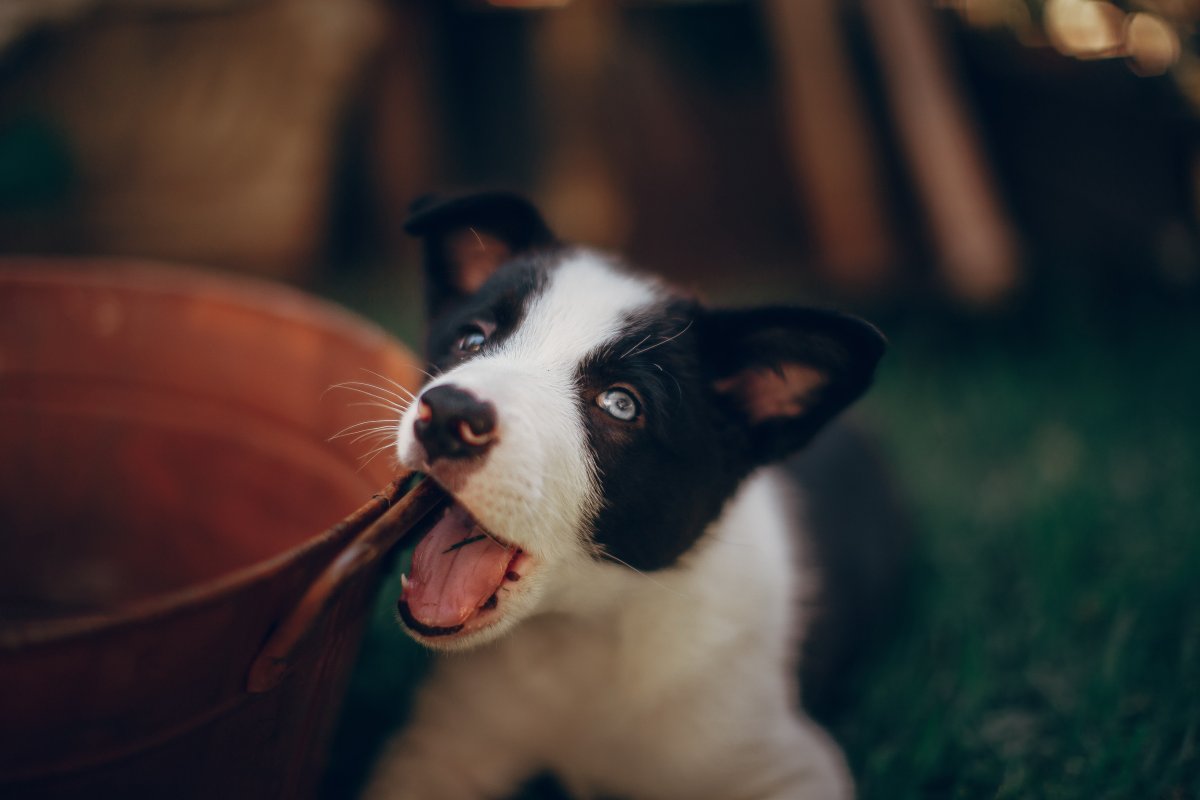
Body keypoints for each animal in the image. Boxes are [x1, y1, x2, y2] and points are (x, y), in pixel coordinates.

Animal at [360, 190, 888, 796]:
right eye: (473, 338)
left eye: (621, 403)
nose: (448, 416)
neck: (585, 633)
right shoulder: (438, 749)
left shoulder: (789, 762)